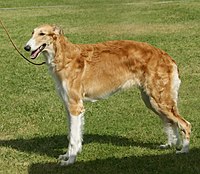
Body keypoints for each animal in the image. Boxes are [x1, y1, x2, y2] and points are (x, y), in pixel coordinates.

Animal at [24, 24, 191, 166]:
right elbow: (73, 135)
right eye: (32, 33)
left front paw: (70, 160)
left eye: (42, 33)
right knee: (171, 123)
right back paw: (170, 145)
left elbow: (73, 138)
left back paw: (184, 150)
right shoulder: (68, 106)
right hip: (151, 101)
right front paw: (68, 155)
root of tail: (167, 57)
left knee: (185, 124)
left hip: (159, 100)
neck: (65, 57)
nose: (26, 47)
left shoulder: (75, 106)